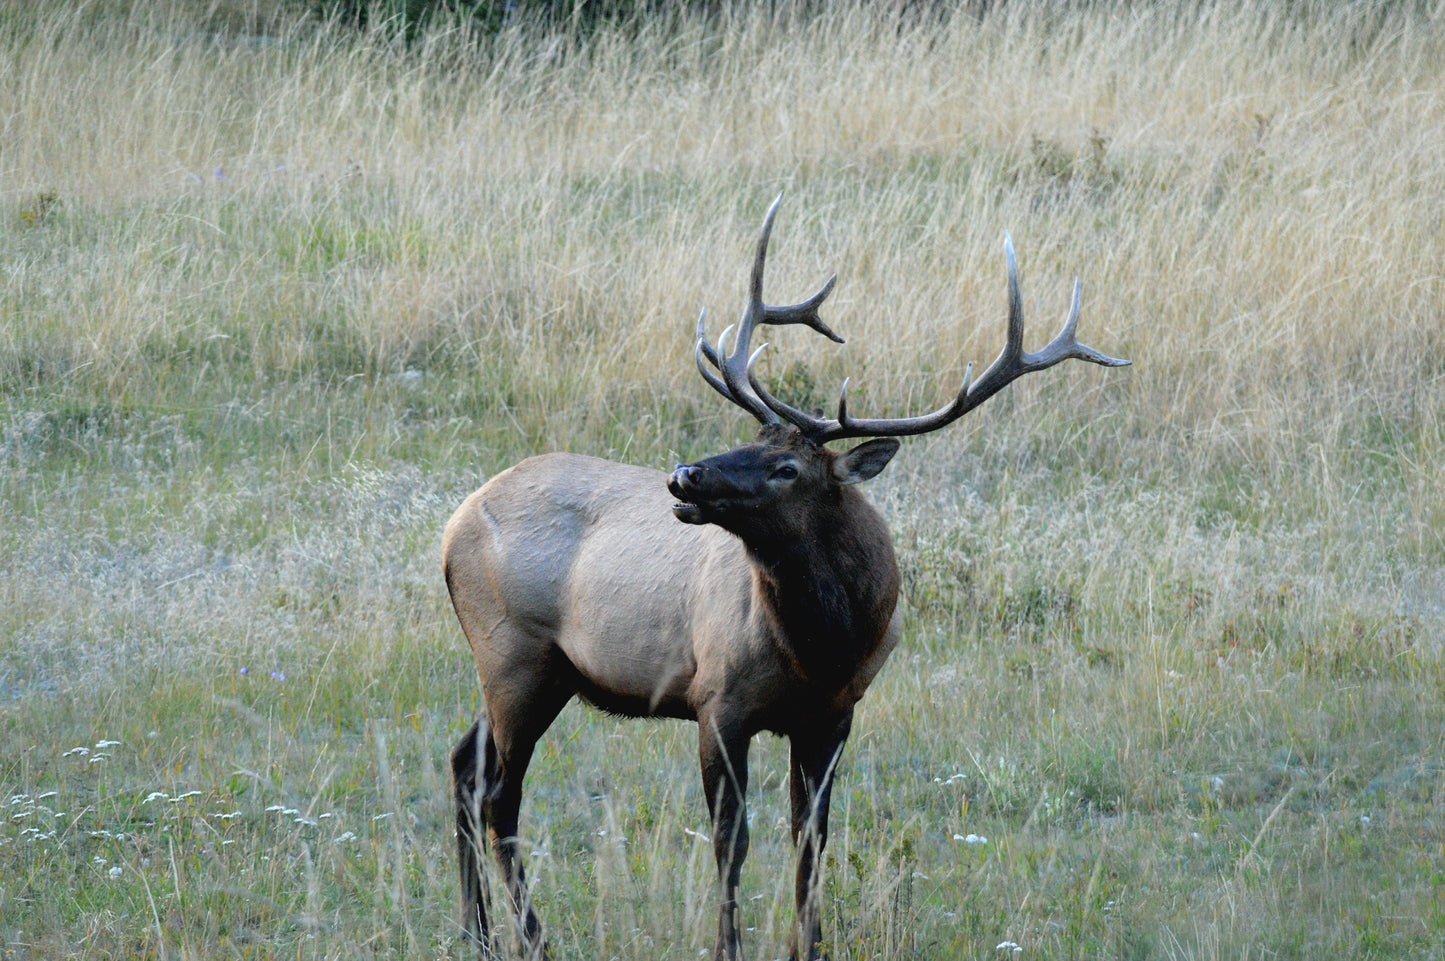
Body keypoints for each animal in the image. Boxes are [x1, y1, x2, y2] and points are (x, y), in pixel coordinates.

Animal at [443, 195, 1128, 961]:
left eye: (787, 467)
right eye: (754, 438)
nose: (684, 475)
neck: (820, 645)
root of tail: (452, 524)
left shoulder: (835, 713)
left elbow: (811, 838)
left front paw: (812, 945)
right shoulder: (717, 699)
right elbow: (729, 841)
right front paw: (728, 947)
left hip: (533, 669)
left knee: (465, 765)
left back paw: (477, 932)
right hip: (515, 653)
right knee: (499, 794)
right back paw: (531, 937)